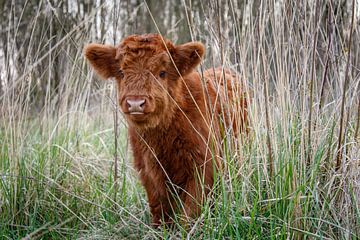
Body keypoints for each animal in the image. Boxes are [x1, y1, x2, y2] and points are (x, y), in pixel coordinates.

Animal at [84, 34, 248, 227]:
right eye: (122, 73)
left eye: (162, 73)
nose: (135, 103)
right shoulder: (148, 171)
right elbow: (160, 208)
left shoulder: (203, 166)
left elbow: (191, 210)